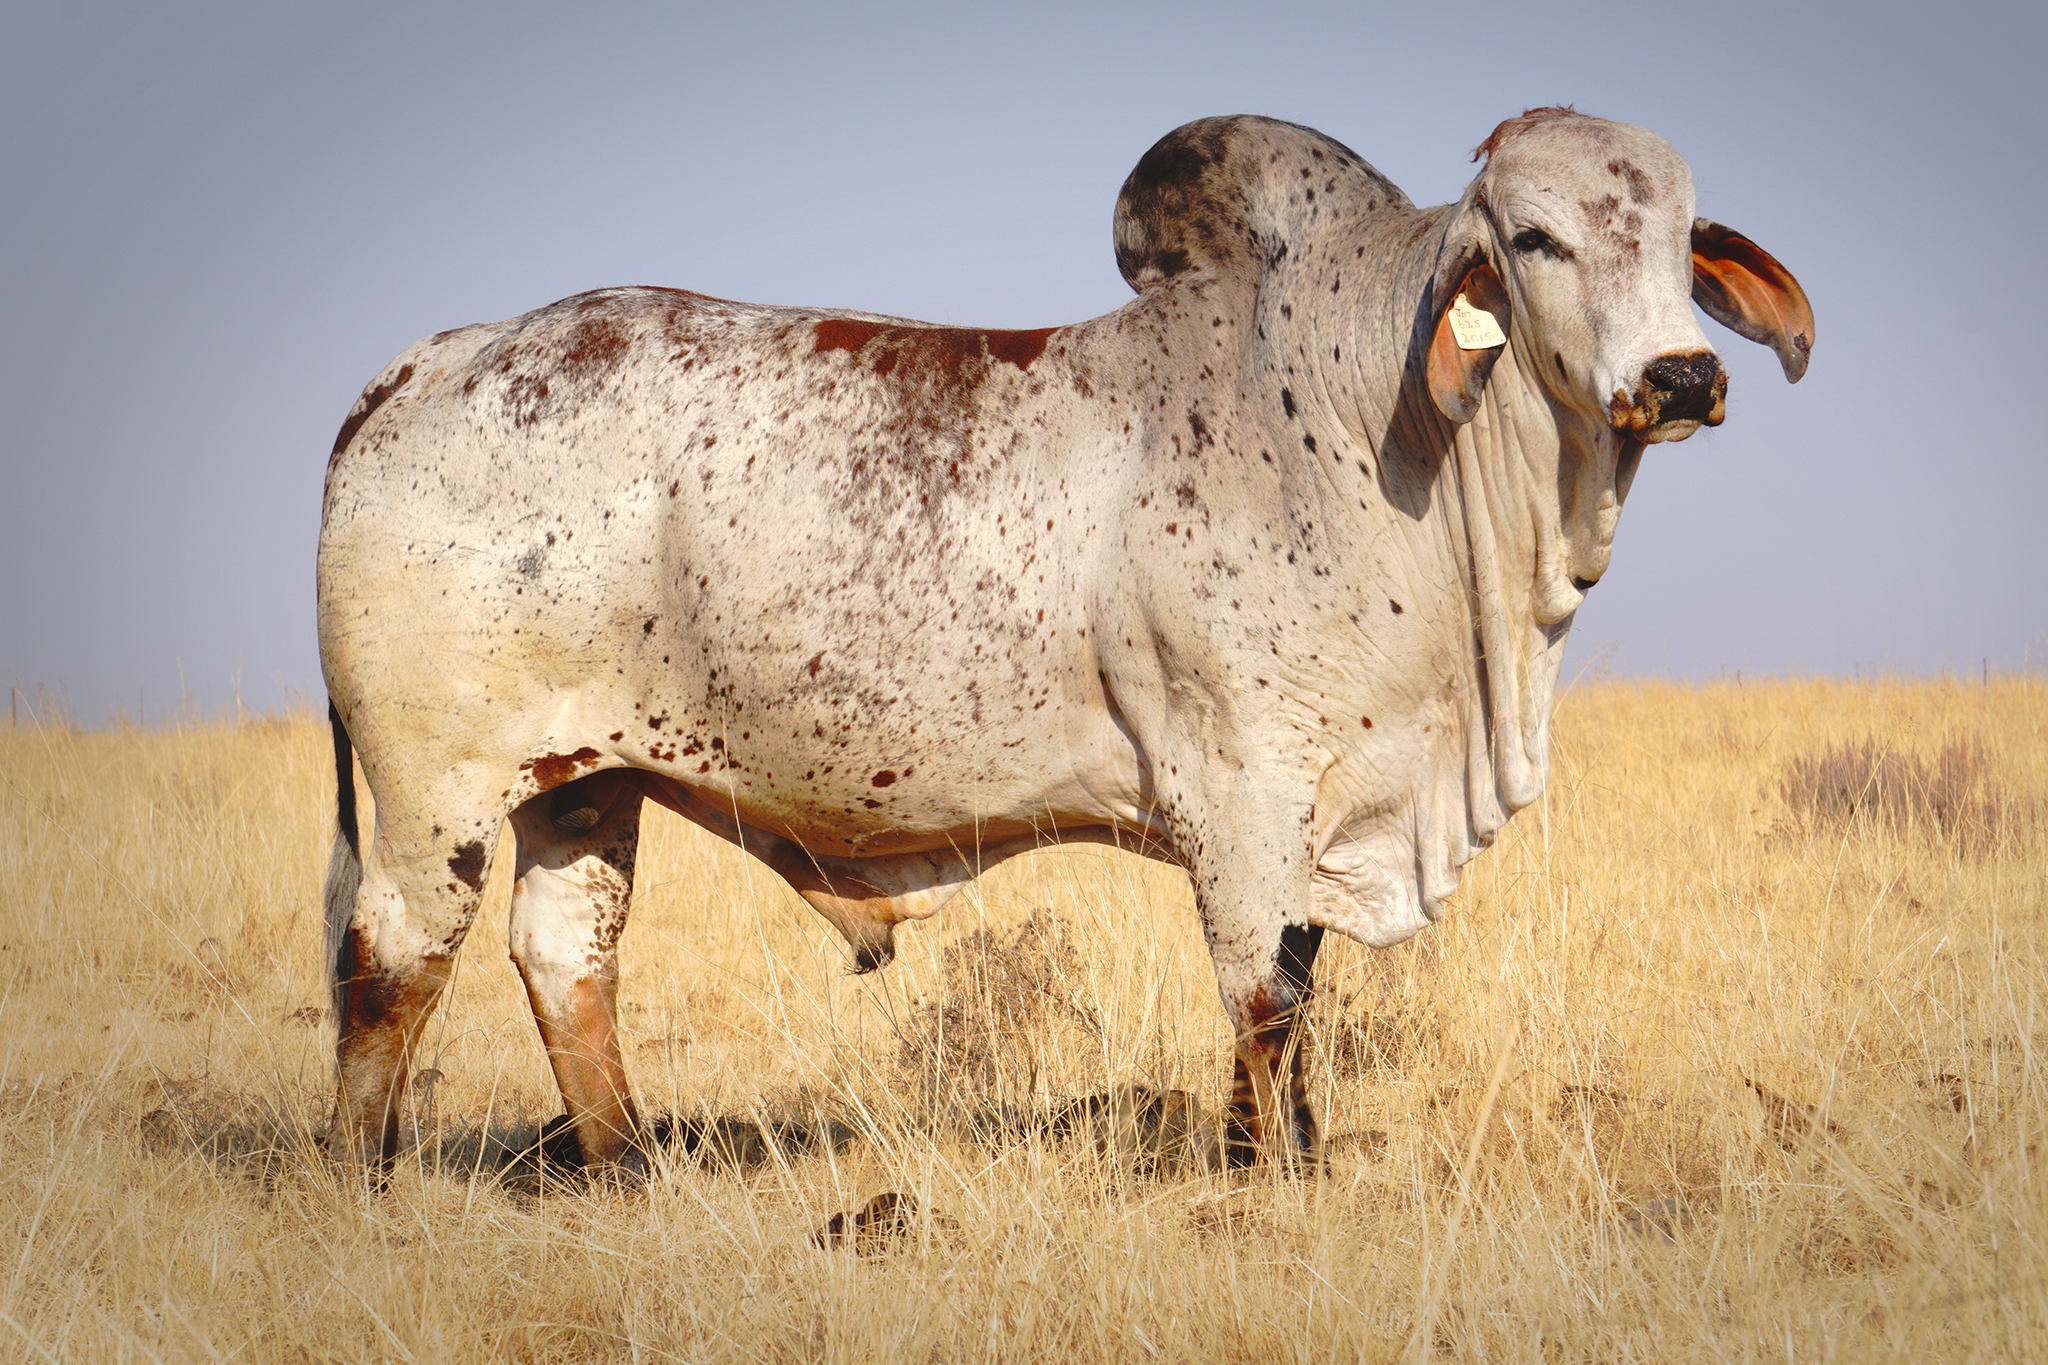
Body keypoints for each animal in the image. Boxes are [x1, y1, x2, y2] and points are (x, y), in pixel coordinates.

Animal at [317, 108, 1811, 1177]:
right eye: (1540, 238)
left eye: (1679, 243)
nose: (1684, 376)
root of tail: (425, 362)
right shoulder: (1244, 794)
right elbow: (1264, 996)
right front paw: (1261, 1175)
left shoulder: (1324, 804)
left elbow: (1303, 984)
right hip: (435, 793)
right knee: (391, 962)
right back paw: (363, 1179)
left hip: (583, 783)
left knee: (567, 958)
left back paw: (627, 1167)